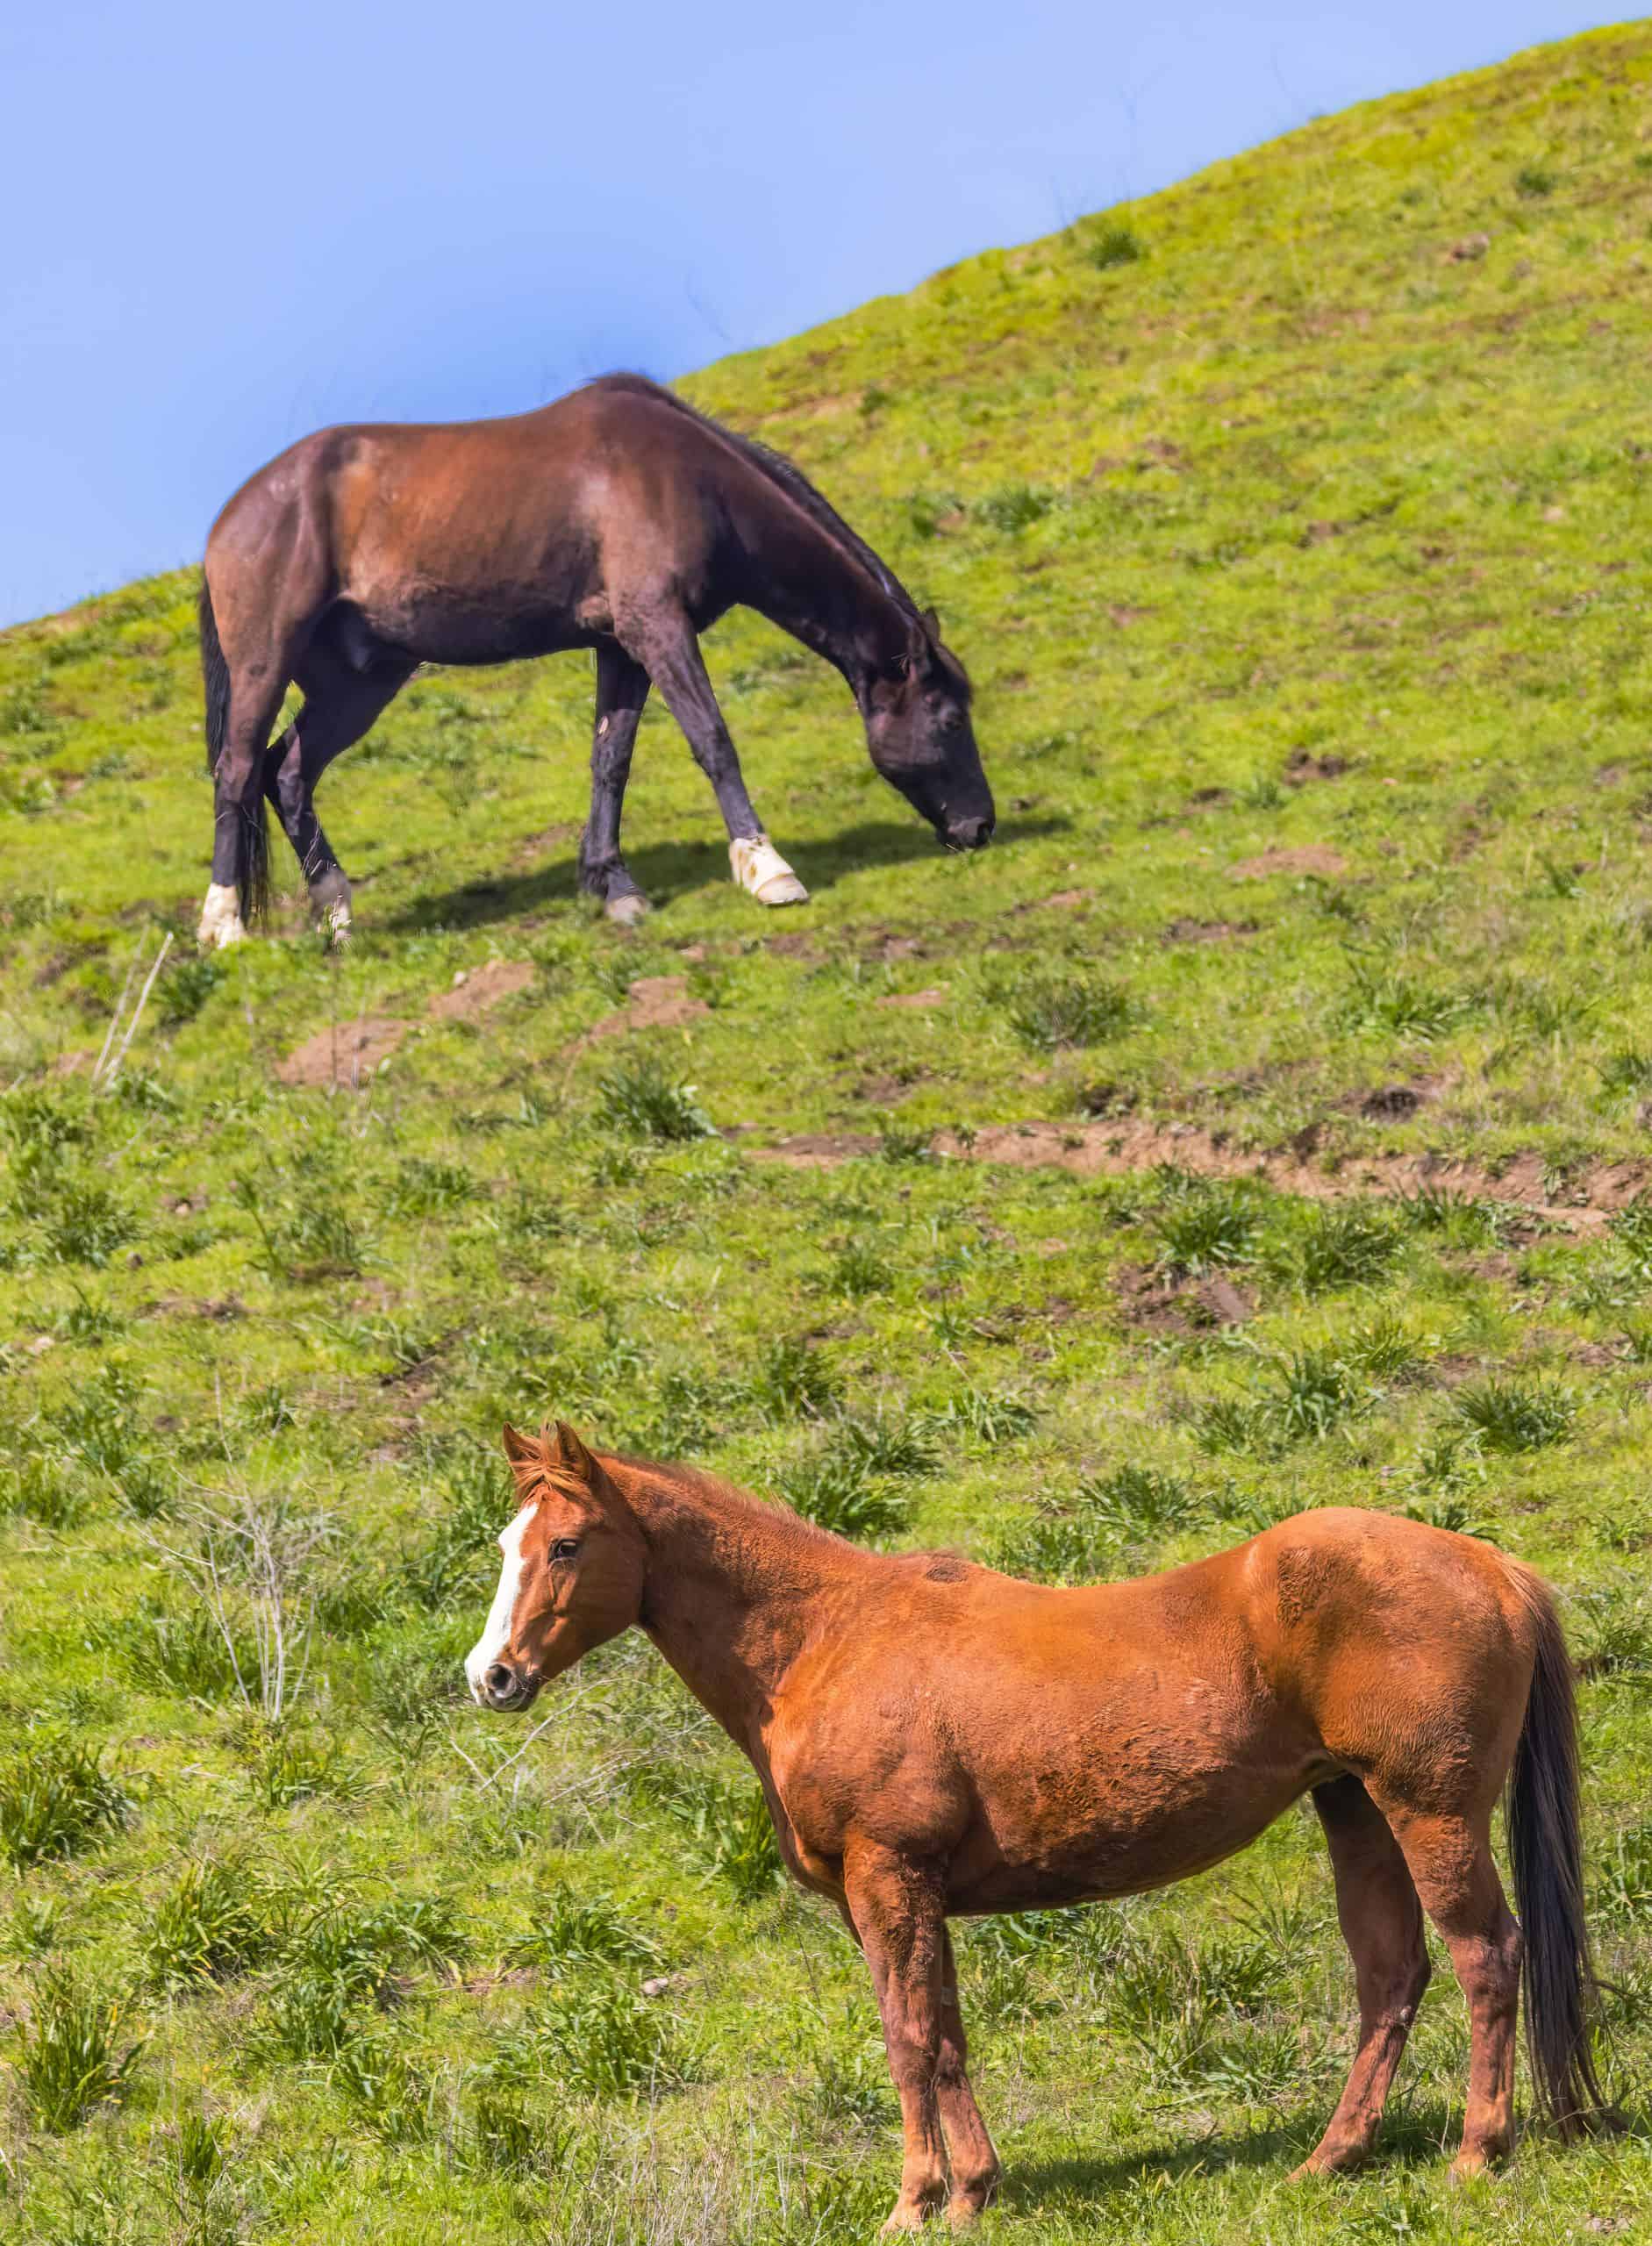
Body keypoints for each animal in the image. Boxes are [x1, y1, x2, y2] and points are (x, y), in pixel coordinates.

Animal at [194, 374, 995, 948]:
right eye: (950, 720)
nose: (979, 828)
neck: (689, 478)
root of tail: (231, 519)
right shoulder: (658, 629)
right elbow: (713, 741)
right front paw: (768, 870)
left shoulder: (621, 646)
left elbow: (611, 762)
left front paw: (613, 887)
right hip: (268, 662)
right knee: (238, 770)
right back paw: (224, 926)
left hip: (361, 681)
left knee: (289, 773)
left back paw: (336, 913)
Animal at [466, 1422, 1610, 2232]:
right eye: (504, 1543)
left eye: (564, 1543)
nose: (492, 1677)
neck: (826, 1638)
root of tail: (1488, 1565)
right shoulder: (910, 1896)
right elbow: (946, 2036)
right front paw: (973, 2189)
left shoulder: (887, 1879)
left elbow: (907, 2038)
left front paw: (914, 2202)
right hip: (1353, 1809)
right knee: (1389, 1976)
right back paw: (1330, 2159)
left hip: (1428, 1813)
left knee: (1482, 1956)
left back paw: (1476, 2151)